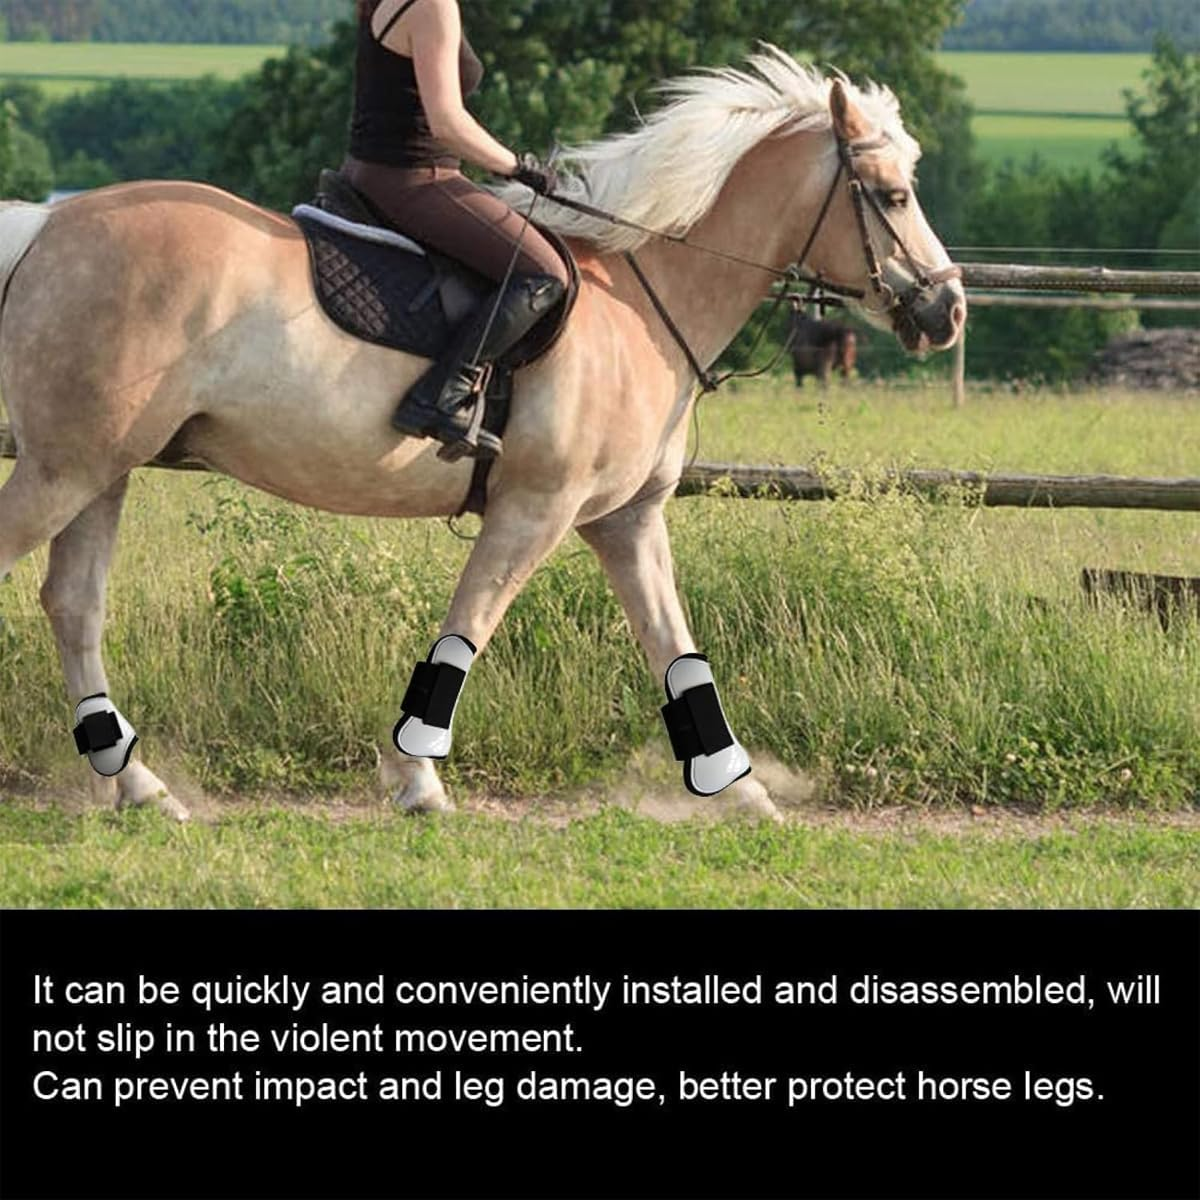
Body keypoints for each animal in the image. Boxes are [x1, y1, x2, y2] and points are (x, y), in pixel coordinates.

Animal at [0, 46, 964, 821]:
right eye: (893, 195)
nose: (947, 310)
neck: (639, 296)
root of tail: (51, 222)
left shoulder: (627, 521)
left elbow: (676, 650)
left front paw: (746, 792)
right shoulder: (536, 508)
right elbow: (468, 629)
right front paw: (418, 783)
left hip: (102, 469)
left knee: (74, 606)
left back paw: (138, 786)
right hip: (65, 467)